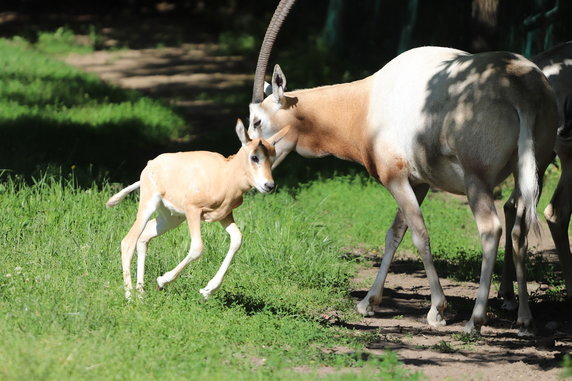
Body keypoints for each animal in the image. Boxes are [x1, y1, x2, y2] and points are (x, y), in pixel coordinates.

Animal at [105, 119, 288, 300]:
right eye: (254, 157)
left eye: (272, 157)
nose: (269, 185)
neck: (224, 174)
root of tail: (150, 165)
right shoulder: (193, 210)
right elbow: (197, 248)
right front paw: (162, 281)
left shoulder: (225, 215)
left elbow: (237, 239)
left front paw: (208, 290)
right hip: (149, 204)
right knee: (128, 241)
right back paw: (130, 296)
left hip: (171, 218)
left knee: (144, 236)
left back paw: (141, 292)